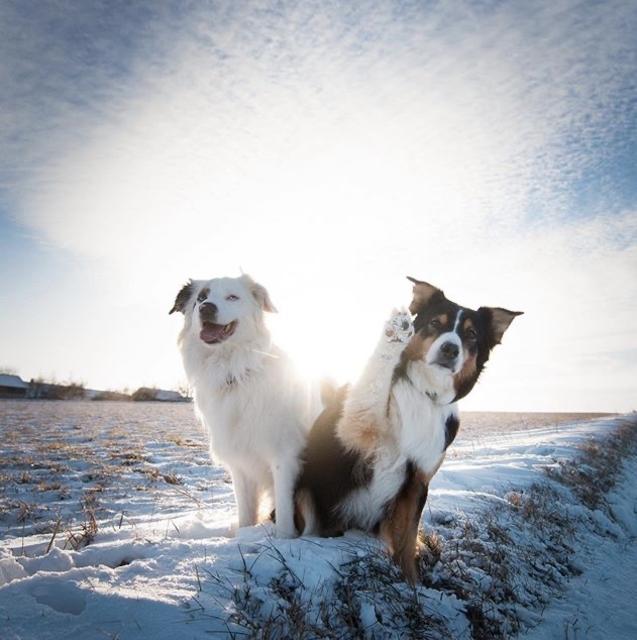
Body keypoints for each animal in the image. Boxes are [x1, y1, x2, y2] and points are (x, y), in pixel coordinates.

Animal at [170, 272, 320, 536]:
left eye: (232, 297)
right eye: (201, 298)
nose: (206, 308)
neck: (234, 370)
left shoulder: (284, 456)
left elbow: (284, 513)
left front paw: (284, 539)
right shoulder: (239, 462)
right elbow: (245, 513)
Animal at [294, 276, 520, 580]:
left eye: (471, 334)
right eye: (435, 323)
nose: (450, 349)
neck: (424, 393)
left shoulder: (418, 480)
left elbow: (407, 540)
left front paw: (412, 583)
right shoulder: (355, 430)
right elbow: (372, 386)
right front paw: (394, 336)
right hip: (305, 491)